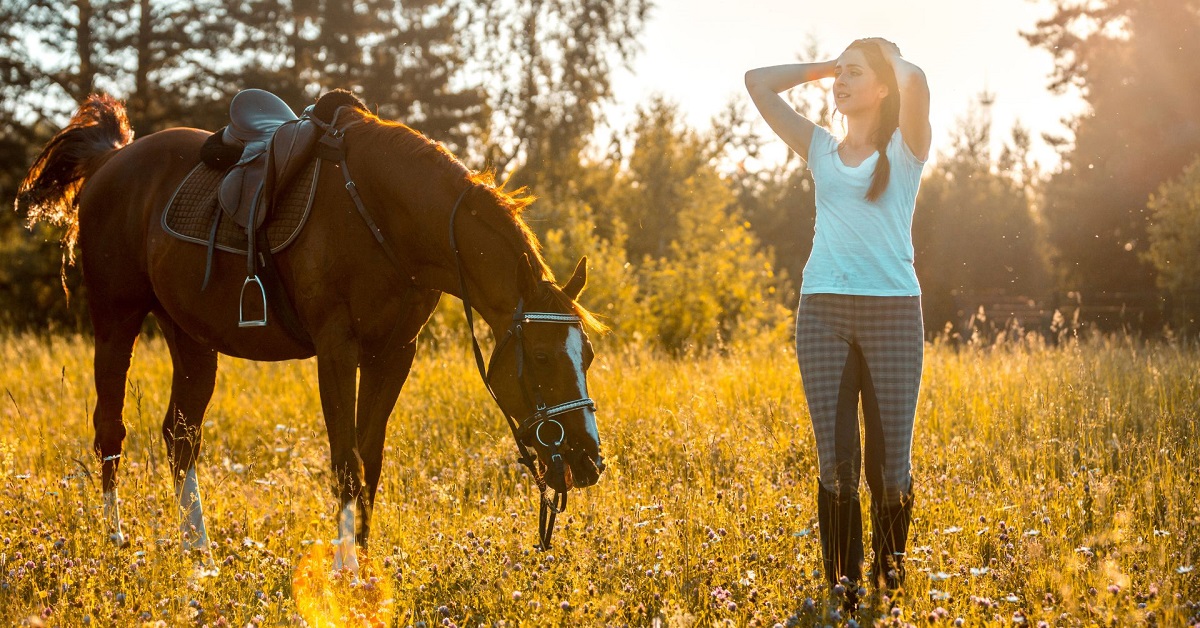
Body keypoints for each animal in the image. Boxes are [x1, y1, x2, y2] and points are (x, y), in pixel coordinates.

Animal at [15, 94, 604, 573]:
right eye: (544, 356)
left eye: (590, 356)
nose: (589, 461)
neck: (383, 213)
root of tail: (112, 158)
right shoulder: (336, 350)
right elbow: (345, 464)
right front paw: (346, 571)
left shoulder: (395, 353)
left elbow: (369, 460)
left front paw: (365, 566)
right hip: (116, 318)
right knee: (110, 431)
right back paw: (117, 540)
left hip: (190, 338)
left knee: (181, 438)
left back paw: (199, 555)